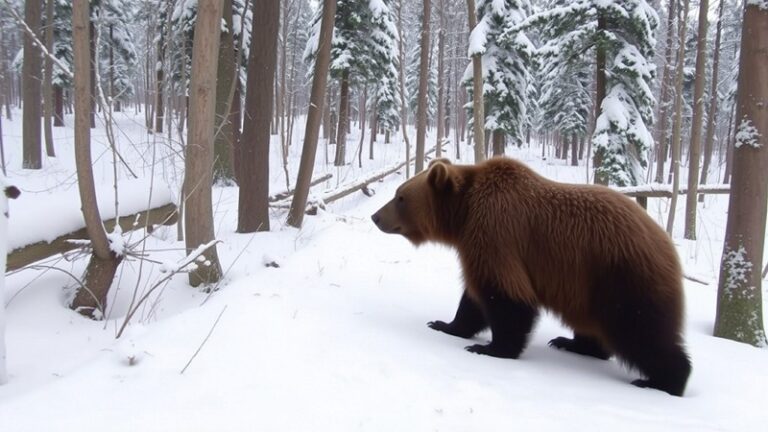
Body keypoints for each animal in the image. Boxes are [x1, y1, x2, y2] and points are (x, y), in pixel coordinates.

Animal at [370, 157, 688, 396]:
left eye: (400, 197)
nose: (375, 216)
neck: (464, 214)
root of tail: (668, 245)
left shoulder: (497, 234)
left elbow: (506, 298)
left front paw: (488, 347)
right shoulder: (478, 245)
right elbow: (473, 299)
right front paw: (444, 324)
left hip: (621, 274)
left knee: (641, 329)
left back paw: (663, 381)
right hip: (587, 287)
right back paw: (572, 343)